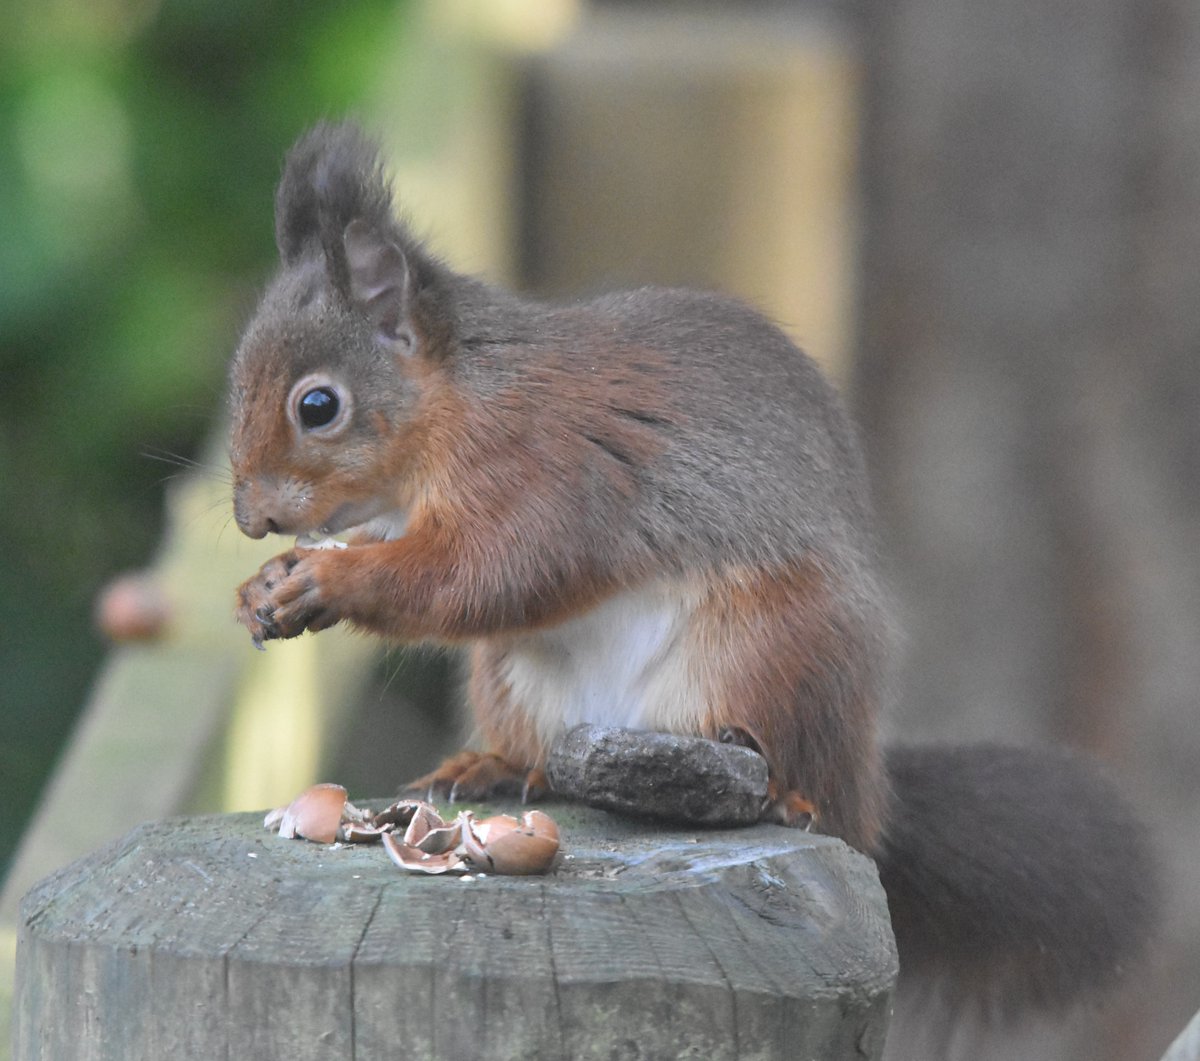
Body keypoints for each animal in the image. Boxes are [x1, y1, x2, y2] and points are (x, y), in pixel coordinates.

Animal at [229, 123, 1158, 1021]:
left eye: (318, 406)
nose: (247, 518)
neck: (456, 401)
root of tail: (870, 793)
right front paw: (262, 586)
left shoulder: (547, 471)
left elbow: (488, 573)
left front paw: (327, 581)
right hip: (513, 678)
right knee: (537, 752)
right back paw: (491, 766)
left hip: (776, 646)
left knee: (801, 774)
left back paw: (785, 797)